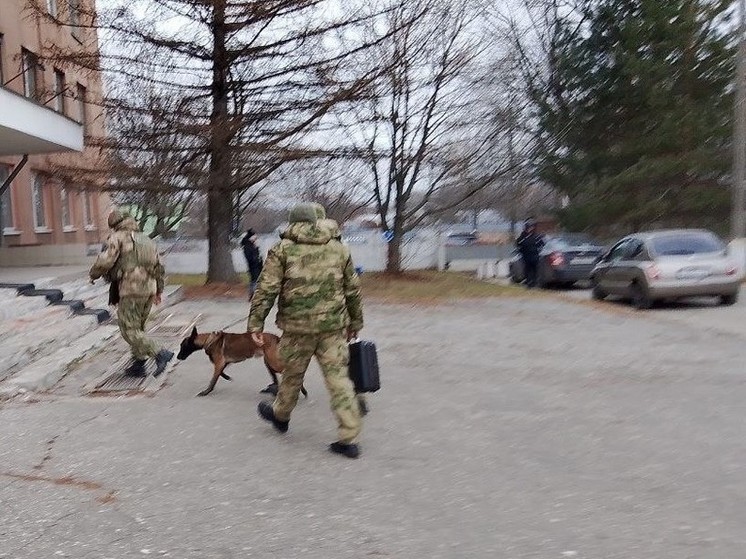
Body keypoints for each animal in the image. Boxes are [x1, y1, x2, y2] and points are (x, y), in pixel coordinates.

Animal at [177, 326, 306, 400]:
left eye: (182, 346)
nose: (178, 357)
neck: (208, 340)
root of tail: (276, 337)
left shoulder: (219, 362)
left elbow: (213, 380)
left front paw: (206, 392)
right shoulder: (223, 363)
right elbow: (221, 372)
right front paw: (227, 377)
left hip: (273, 362)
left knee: (288, 370)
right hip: (268, 361)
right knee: (276, 376)